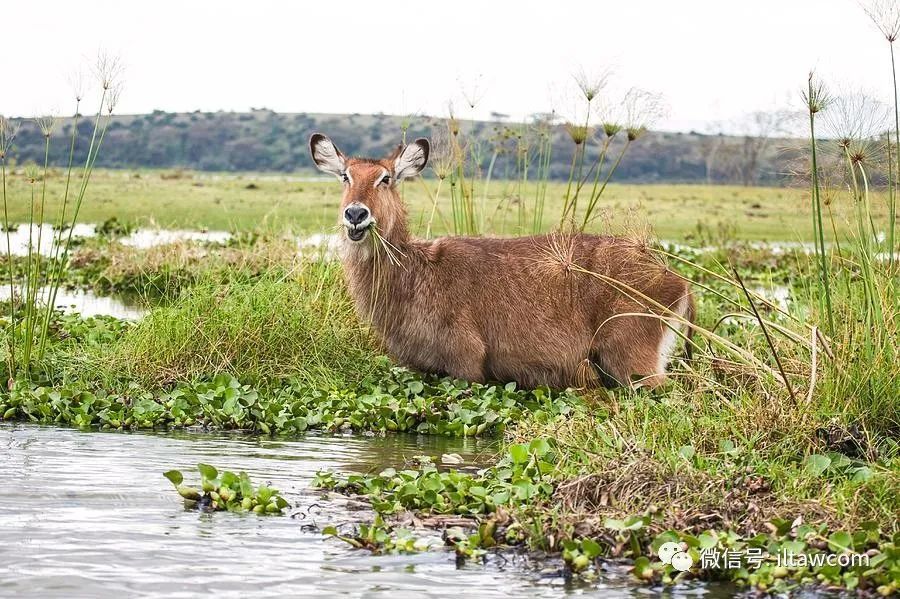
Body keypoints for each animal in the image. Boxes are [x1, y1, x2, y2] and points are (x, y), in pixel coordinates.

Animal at [310, 134, 696, 392]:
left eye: (385, 178)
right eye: (345, 176)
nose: (356, 214)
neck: (414, 273)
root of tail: (679, 281)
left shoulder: (466, 365)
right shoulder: (419, 369)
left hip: (633, 364)